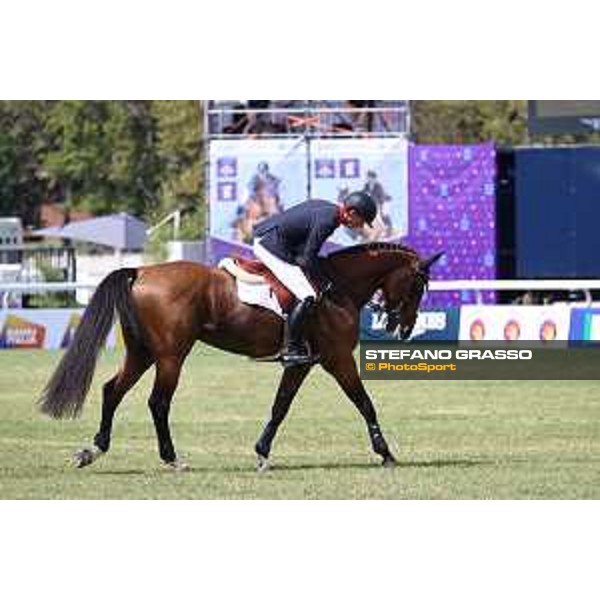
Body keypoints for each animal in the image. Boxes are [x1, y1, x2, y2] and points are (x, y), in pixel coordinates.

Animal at [36, 241, 440, 472]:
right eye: (418, 285)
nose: (404, 329)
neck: (337, 287)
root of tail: (141, 271)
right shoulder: (338, 360)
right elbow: (364, 403)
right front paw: (385, 453)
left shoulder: (303, 364)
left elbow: (280, 406)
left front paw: (262, 452)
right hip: (171, 355)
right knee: (158, 402)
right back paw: (172, 459)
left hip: (143, 352)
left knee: (112, 391)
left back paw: (93, 450)